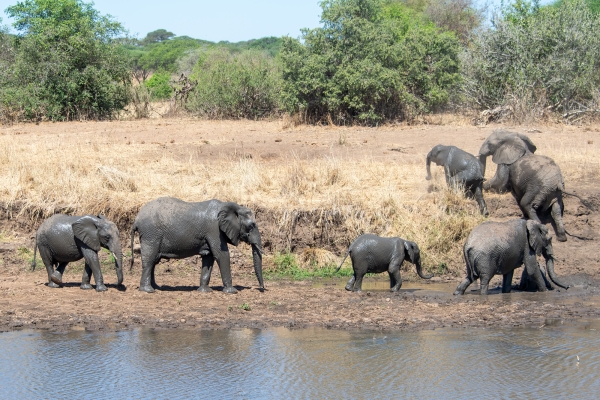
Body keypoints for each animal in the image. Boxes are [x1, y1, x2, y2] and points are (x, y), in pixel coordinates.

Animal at [130, 197, 264, 294]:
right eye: (251, 225)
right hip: (151, 235)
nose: (261, 289)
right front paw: (232, 292)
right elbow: (221, 255)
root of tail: (136, 220)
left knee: (154, 261)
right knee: (149, 259)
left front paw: (205, 291)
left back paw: (157, 287)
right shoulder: (214, 230)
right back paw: (148, 290)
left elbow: (209, 257)